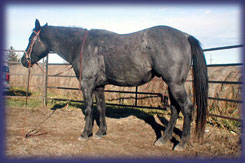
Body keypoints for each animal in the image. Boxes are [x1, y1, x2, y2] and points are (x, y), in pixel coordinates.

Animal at [21, 19, 209, 152]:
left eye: (31, 39)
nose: (24, 60)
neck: (82, 47)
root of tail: (185, 36)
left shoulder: (87, 84)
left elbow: (88, 109)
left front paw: (85, 134)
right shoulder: (99, 86)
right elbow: (101, 108)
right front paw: (100, 132)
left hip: (175, 84)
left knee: (186, 107)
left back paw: (181, 143)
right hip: (171, 84)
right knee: (175, 108)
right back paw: (163, 140)